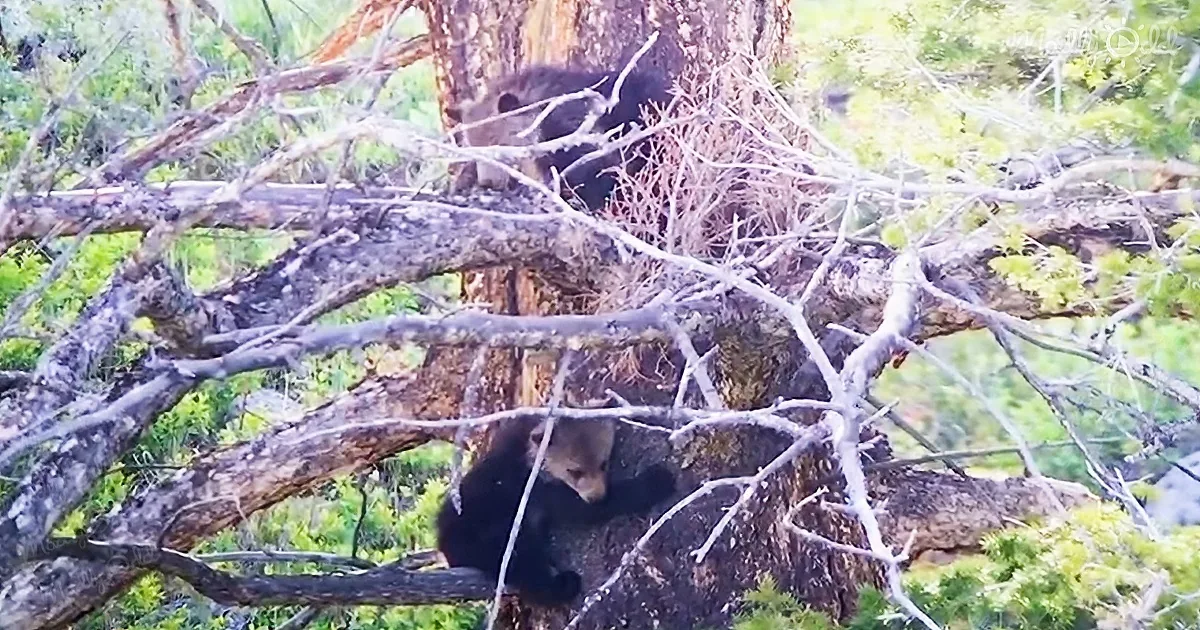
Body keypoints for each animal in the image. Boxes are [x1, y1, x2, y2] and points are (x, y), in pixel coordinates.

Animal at [435, 416, 676, 605]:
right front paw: (656, 480)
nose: (597, 497)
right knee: (522, 565)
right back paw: (564, 583)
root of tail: (445, 545)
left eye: (603, 463)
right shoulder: (538, 490)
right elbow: (582, 510)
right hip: (488, 534)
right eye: (575, 471)